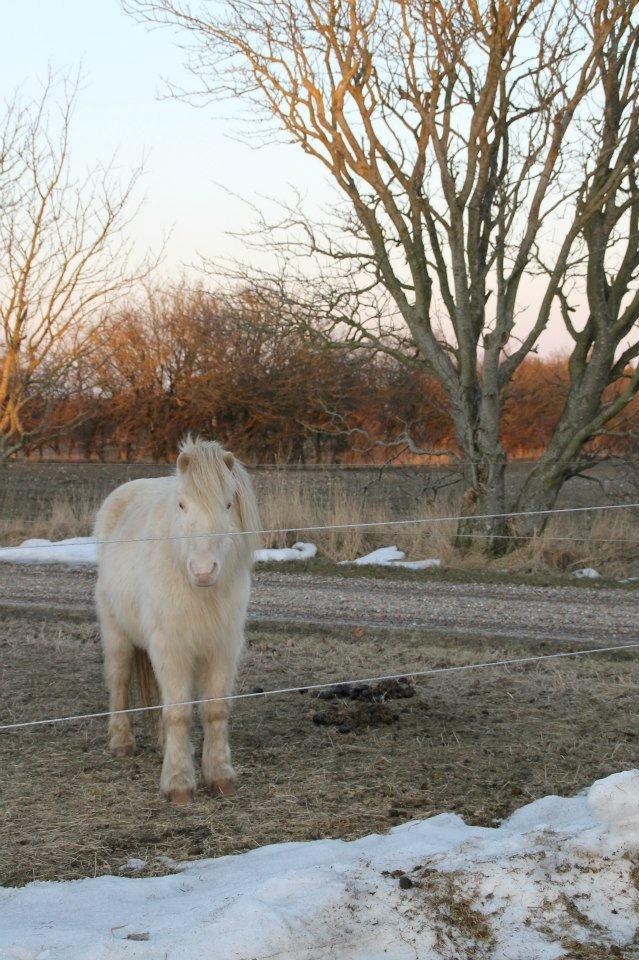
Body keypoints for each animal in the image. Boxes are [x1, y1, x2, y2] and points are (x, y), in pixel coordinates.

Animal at [95, 436, 260, 804]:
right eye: (182, 505)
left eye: (228, 504)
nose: (203, 571)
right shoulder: (171, 649)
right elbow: (180, 712)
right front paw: (179, 783)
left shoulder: (222, 649)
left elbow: (214, 710)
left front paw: (220, 775)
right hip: (117, 636)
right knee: (119, 683)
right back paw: (121, 742)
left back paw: (161, 745)